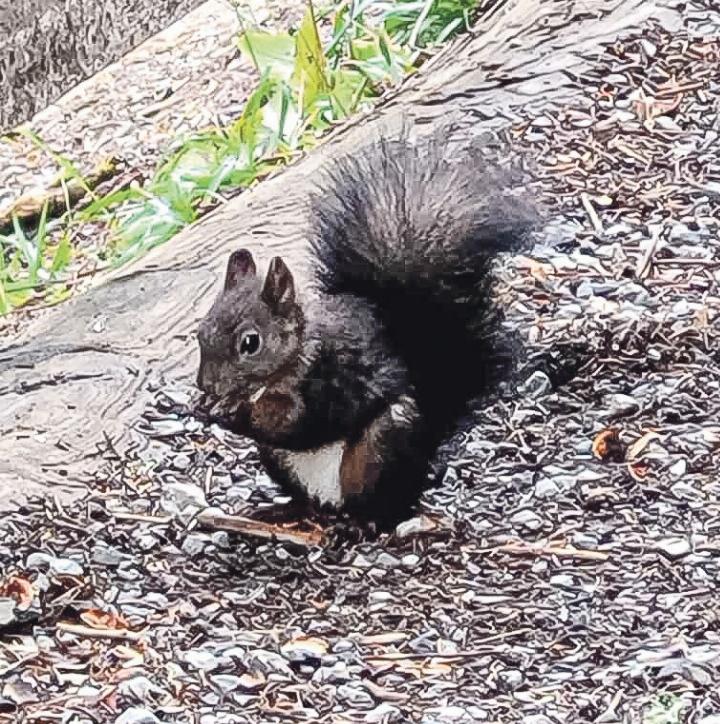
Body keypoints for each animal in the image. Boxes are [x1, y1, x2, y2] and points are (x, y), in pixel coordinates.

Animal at [194, 121, 544, 524]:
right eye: (200, 333)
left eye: (250, 343)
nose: (206, 385)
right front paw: (202, 405)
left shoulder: (330, 382)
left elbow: (298, 424)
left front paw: (233, 413)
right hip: (279, 463)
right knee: (307, 500)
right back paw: (280, 508)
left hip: (382, 445)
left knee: (375, 500)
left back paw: (369, 521)